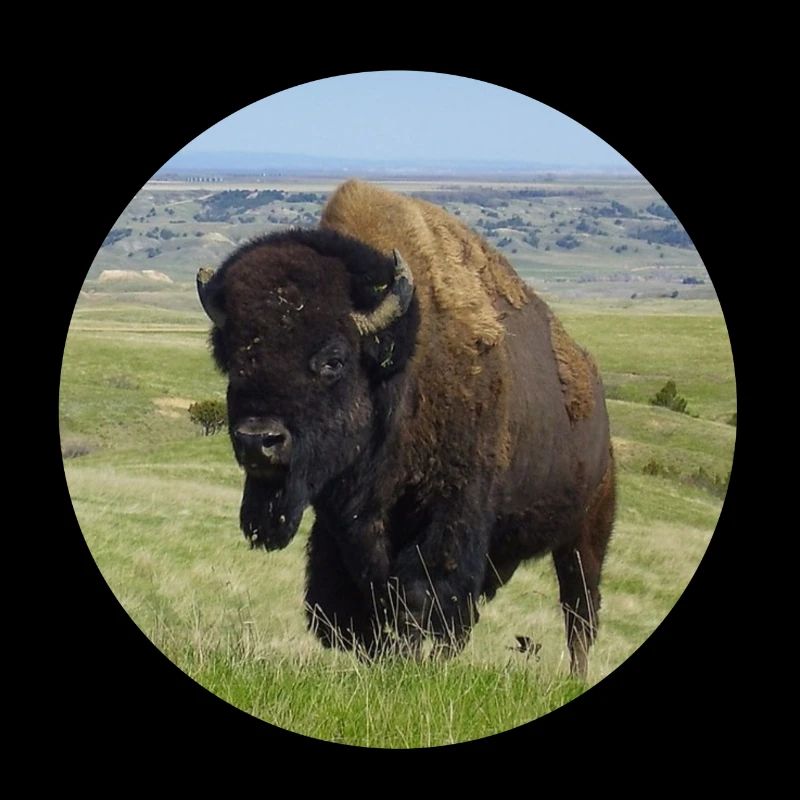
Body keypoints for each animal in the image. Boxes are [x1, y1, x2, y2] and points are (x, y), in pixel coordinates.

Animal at [196, 180, 615, 677]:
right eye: (235, 358)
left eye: (333, 359)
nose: (259, 439)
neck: (401, 368)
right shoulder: (349, 527)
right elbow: (364, 597)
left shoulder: (450, 513)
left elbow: (421, 591)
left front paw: (410, 660)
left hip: (586, 533)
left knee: (579, 611)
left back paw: (575, 674)